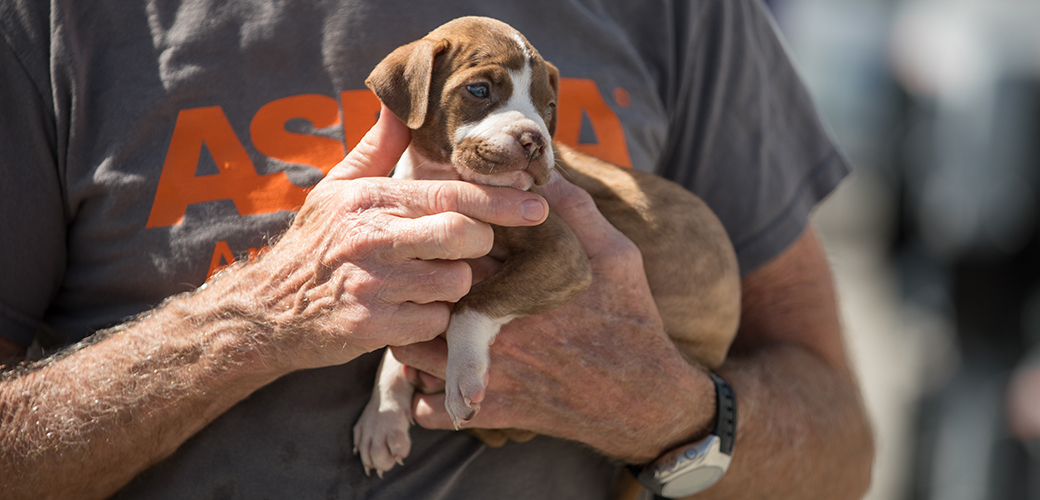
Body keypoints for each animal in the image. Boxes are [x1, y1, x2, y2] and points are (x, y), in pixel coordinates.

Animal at [353, 14, 744, 476]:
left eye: (550, 108)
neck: (442, 178)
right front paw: (382, 416)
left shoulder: (562, 253)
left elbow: (471, 305)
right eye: (479, 90)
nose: (535, 141)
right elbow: (398, 342)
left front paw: (462, 376)